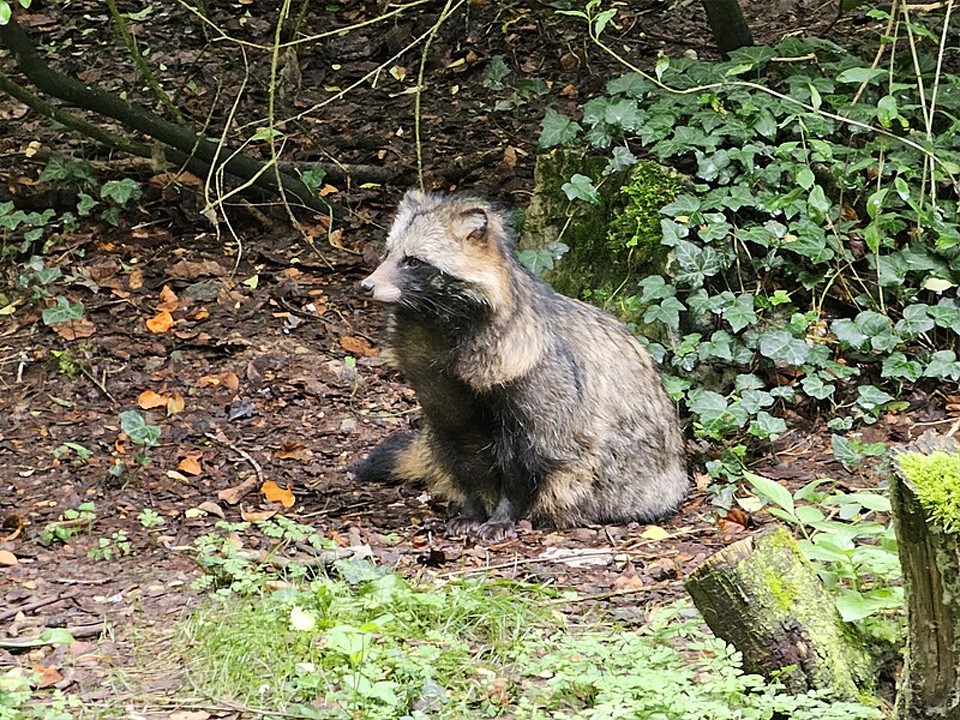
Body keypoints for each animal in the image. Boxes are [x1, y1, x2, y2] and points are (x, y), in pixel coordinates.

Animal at [356, 190, 688, 540]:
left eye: (413, 261)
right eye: (388, 254)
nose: (366, 285)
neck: (434, 321)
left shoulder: (532, 385)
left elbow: (525, 461)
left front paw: (504, 513)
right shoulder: (441, 388)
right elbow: (462, 450)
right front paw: (473, 508)